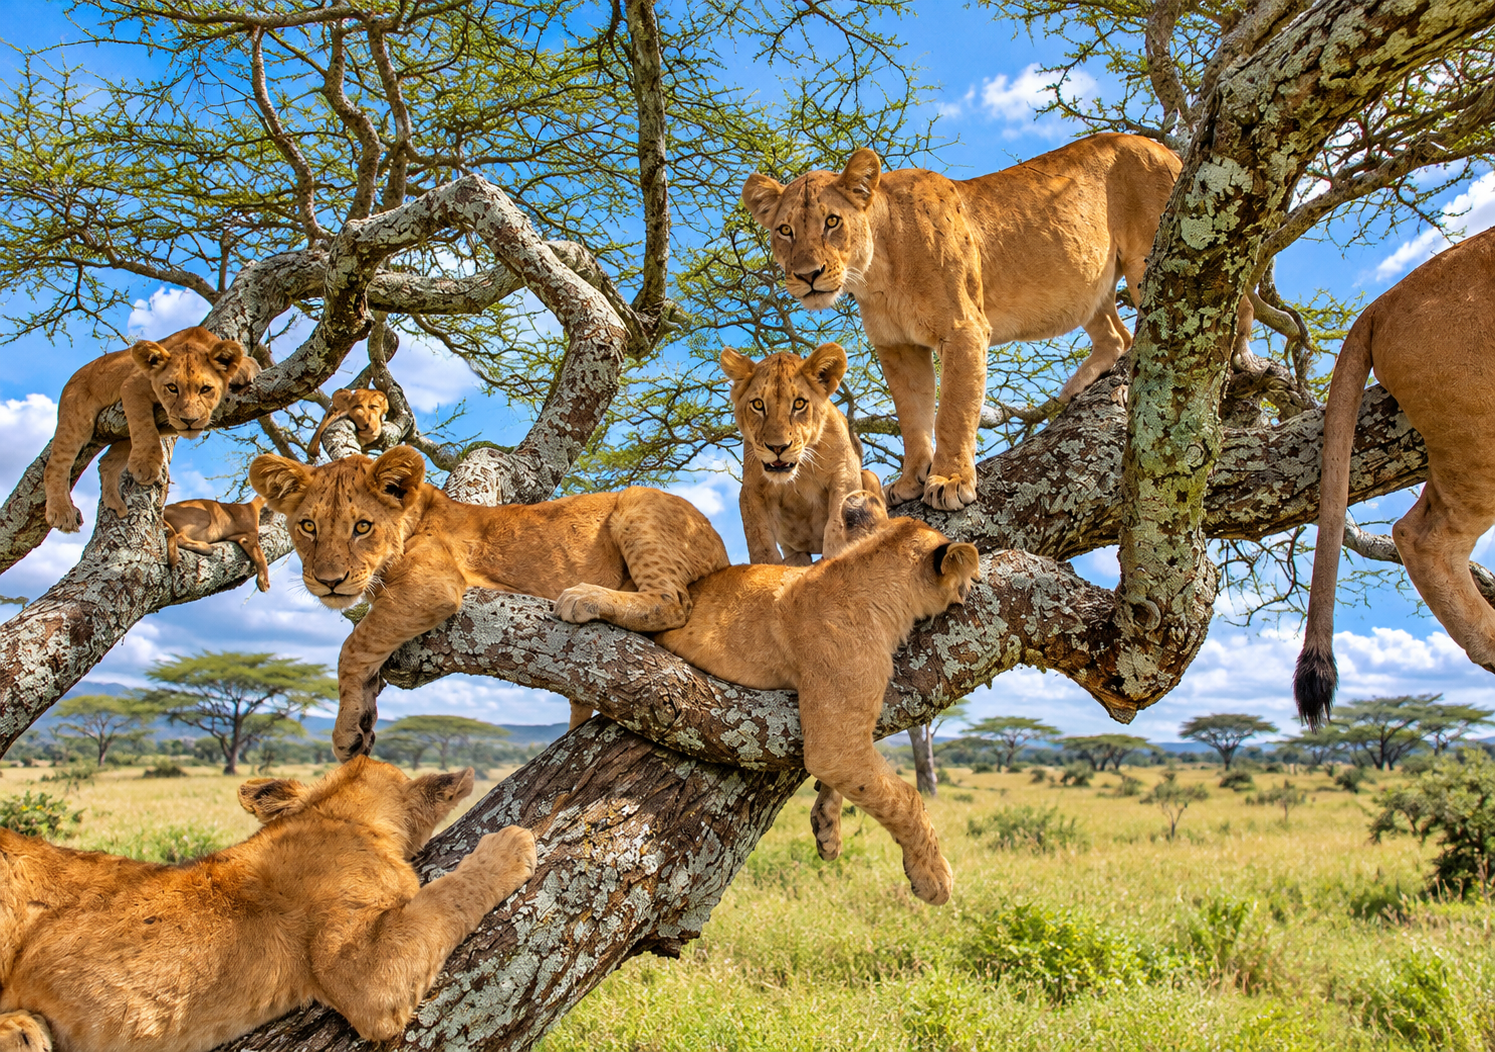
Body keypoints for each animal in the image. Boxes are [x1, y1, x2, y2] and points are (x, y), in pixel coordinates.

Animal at [43, 326, 260, 533]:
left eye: (205, 389)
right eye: (172, 387)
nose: (189, 421)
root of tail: (73, 377)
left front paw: (247, 366)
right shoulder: (132, 385)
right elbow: (143, 424)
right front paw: (146, 464)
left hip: (123, 438)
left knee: (106, 462)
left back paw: (115, 504)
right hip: (78, 421)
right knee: (55, 466)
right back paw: (62, 513)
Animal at [249, 446, 730, 760]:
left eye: (362, 526)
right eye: (308, 526)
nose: (328, 582)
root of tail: (721, 546)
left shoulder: (434, 584)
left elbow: (353, 647)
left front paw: (344, 732)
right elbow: (368, 661)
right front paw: (358, 723)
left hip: (637, 501)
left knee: (672, 602)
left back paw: (582, 597)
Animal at [654, 490, 981, 904]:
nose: (975, 580)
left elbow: (868, 782)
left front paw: (828, 824)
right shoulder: (833, 744)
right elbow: (904, 797)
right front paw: (933, 876)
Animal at [721, 341, 883, 565]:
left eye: (799, 403)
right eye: (758, 404)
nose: (777, 447)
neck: (801, 470)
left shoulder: (845, 472)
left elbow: (837, 520)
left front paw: (837, 553)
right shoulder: (752, 488)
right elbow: (759, 539)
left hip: (868, 476)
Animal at [741, 133, 1184, 511]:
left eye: (832, 221)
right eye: (785, 230)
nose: (807, 275)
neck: (877, 272)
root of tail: (1163, 148)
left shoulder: (964, 328)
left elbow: (953, 410)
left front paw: (949, 481)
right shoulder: (898, 348)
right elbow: (912, 416)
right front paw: (910, 481)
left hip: (1148, 258)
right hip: (1089, 285)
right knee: (1116, 335)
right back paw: (1079, 386)